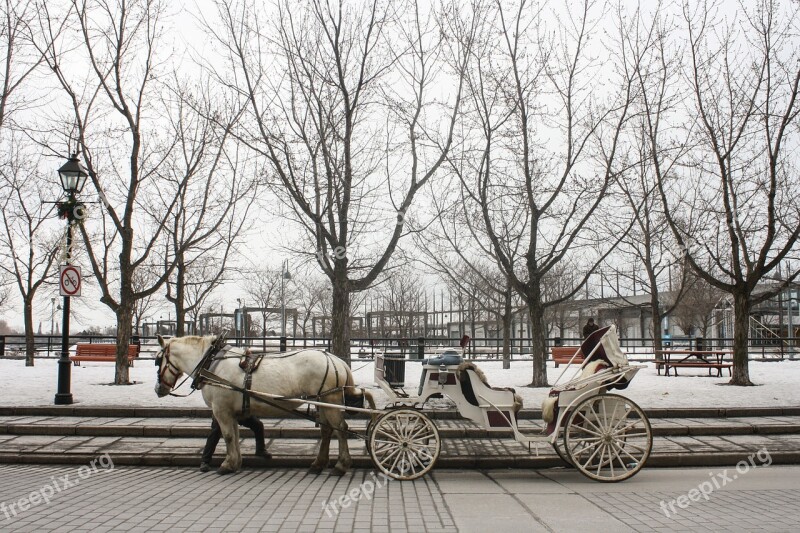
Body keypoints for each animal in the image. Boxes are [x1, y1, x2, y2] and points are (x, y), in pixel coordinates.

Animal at [155, 334, 376, 476]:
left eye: (158, 361)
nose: (158, 389)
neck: (211, 363)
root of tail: (336, 360)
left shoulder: (221, 410)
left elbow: (227, 436)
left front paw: (227, 464)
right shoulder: (231, 412)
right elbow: (234, 434)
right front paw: (236, 462)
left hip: (330, 401)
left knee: (340, 429)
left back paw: (341, 465)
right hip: (320, 401)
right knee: (327, 431)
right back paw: (318, 464)